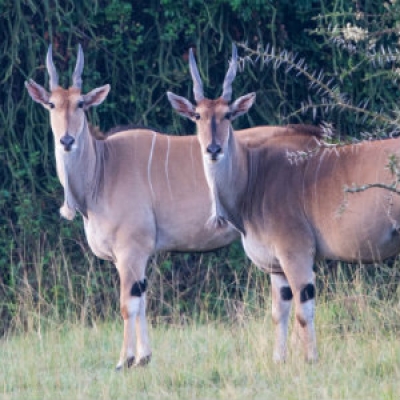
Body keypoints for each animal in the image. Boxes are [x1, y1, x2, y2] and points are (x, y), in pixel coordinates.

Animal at [24, 43, 316, 368]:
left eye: (81, 104)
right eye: (51, 105)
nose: (66, 140)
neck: (102, 168)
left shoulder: (131, 250)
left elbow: (128, 305)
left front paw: (125, 360)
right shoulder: (135, 255)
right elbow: (141, 300)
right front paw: (144, 357)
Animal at [168, 43, 400, 362]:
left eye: (228, 115)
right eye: (197, 116)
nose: (213, 149)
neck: (253, 178)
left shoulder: (297, 256)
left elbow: (304, 313)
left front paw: (311, 360)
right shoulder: (277, 269)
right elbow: (280, 314)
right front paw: (279, 360)